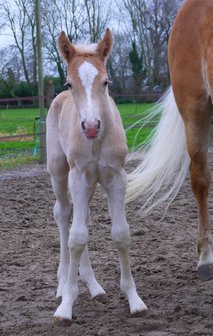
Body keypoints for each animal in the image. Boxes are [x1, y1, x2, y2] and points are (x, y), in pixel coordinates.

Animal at [46, 29, 146, 322]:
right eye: (69, 83)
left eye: (106, 81)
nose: (90, 126)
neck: (97, 141)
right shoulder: (78, 177)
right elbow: (76, 237)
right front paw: (66, 305)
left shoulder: (116, 178)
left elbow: (120, 233)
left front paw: (133, 298)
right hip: (59, 172)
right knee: (63, 214)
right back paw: (62, 285)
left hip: (89, 183)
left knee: (83, 218)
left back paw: (93, 286)